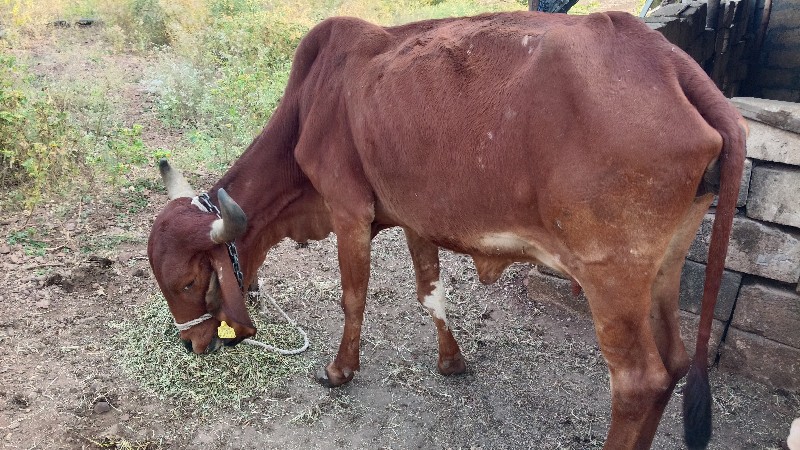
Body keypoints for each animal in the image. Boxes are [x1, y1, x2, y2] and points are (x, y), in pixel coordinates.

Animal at [148, 10, 744, 450]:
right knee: (674, 362)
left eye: (185, 283)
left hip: (610, 275)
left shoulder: (348, 211)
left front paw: (340, 371)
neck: (312, 103)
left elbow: (353, 297)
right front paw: (451, 361)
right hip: (664, 267)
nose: (191, 344)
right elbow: (430, 293)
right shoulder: (415, 216)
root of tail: (669, 60)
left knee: (641, 382)